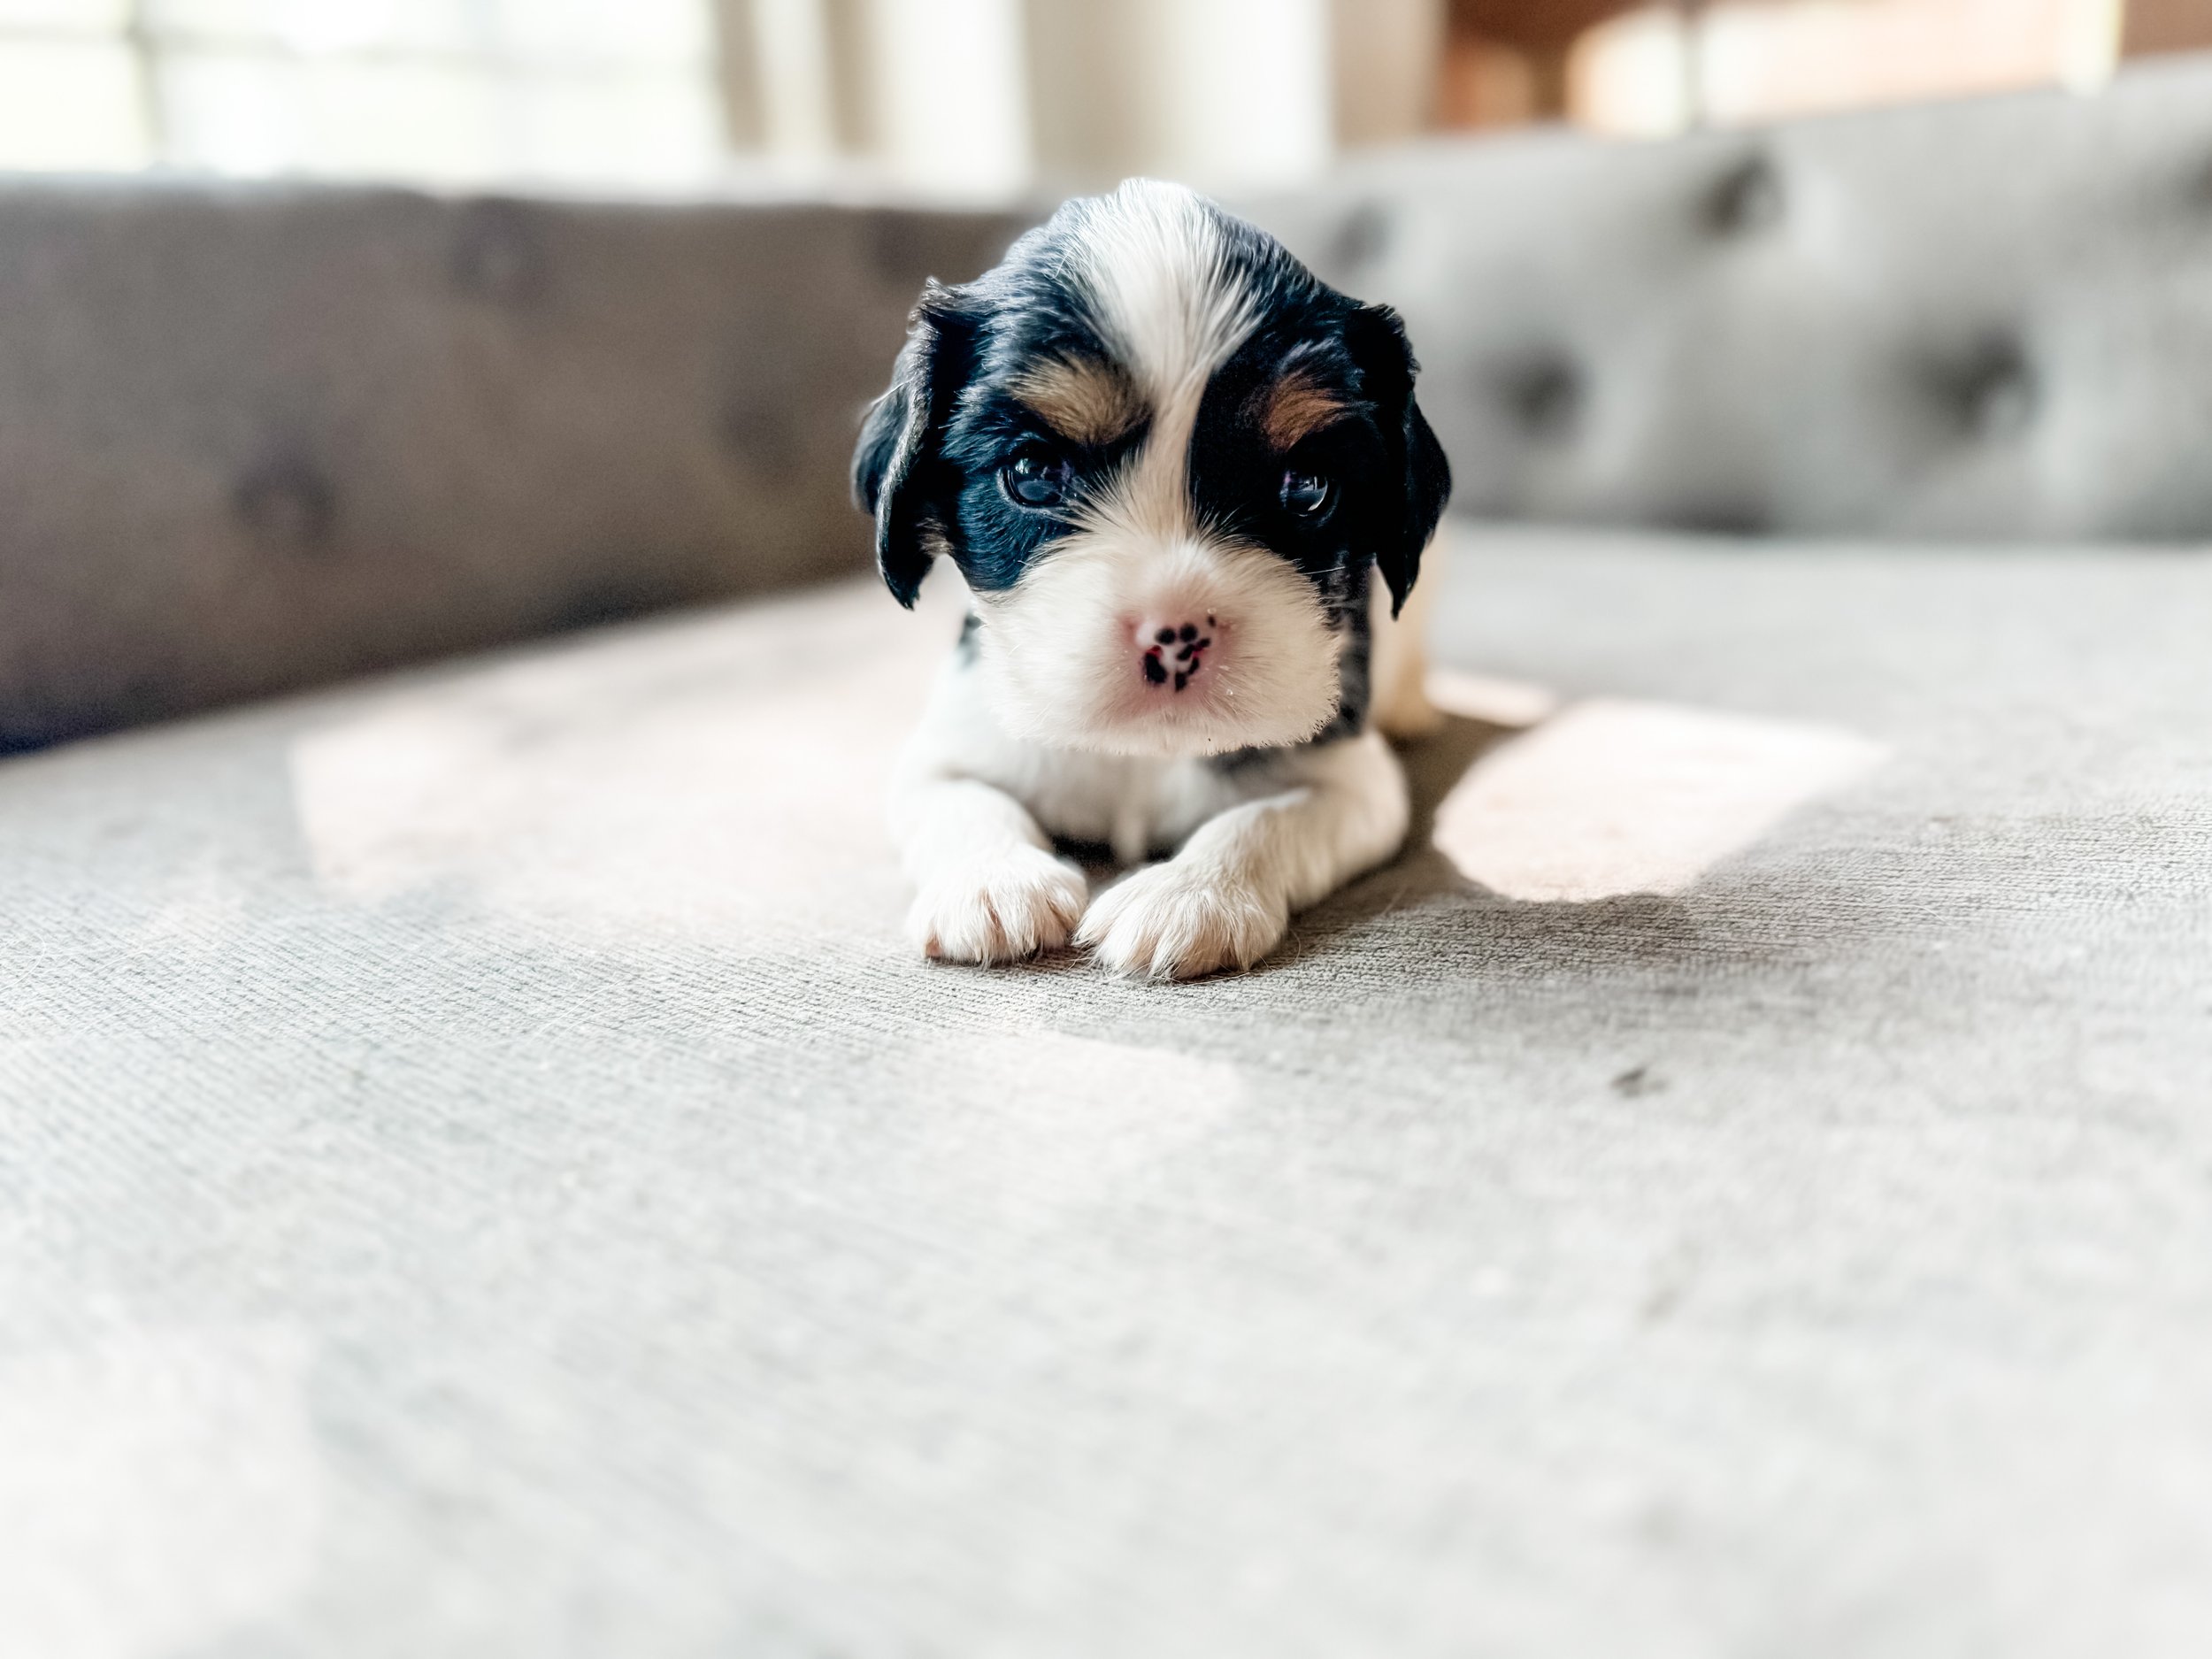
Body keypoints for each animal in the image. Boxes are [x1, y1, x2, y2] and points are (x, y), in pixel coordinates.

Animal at [854, 178, 1450, 980]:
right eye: (1032, 472)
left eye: (1306, 487)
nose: (1176, 633)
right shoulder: (950, 745)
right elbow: (957, 800)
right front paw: (992, 880)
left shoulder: (1356, 784)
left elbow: (1265, 819)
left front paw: (1192, 892)